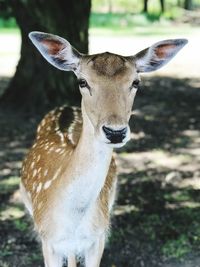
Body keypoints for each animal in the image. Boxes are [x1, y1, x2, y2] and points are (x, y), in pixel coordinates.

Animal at [20, 31, 188, 267]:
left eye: (135, 82)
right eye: (82, 81)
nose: (115, 132)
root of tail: (65, 108)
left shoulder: (98, 237)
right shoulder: (47, 240)